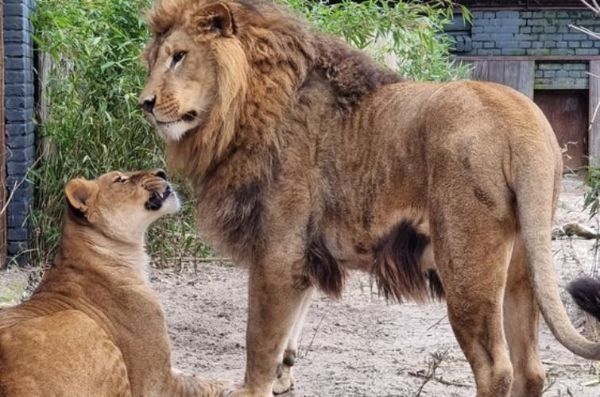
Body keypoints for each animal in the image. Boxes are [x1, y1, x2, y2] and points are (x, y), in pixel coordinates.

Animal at [142, 0, 600, 396]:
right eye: (153, 60)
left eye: (179, 56)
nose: (145, 103)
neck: (240, 109)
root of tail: (524, 122)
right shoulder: (303, 254)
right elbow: (290, 331)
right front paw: (283, 379)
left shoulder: (278, 249)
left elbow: (260, 342)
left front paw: (256, 387)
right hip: (525, 261)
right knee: (532, 370)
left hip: (466, 264)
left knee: (496, 368)